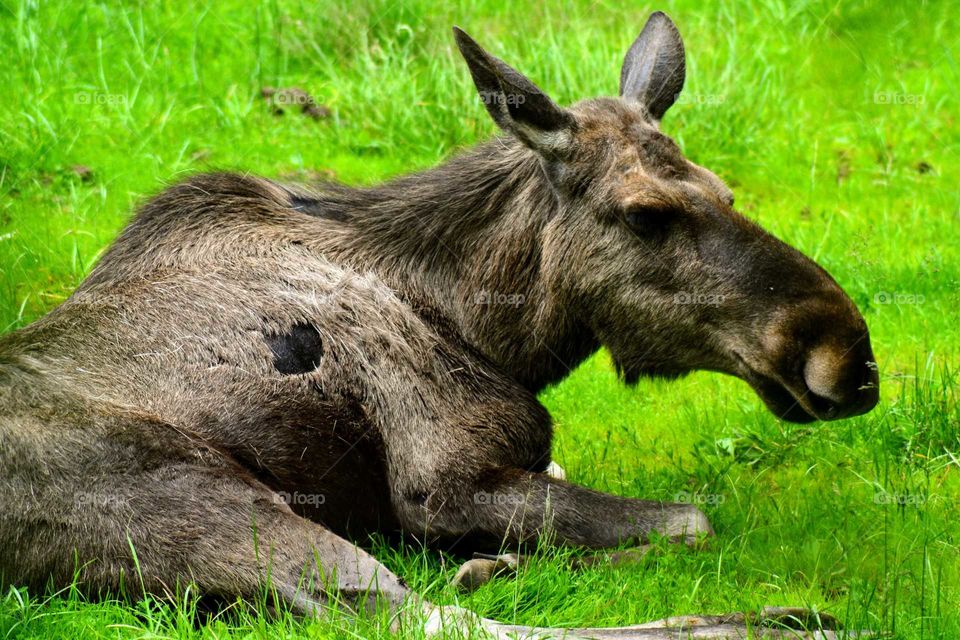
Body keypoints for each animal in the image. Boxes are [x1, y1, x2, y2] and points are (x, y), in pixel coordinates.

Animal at [0, 11, 878, 639]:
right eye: (646, 213)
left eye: (726, 191)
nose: (846, 356)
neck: (494, 330)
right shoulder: (443, 480)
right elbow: (692, 521)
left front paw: (504, 559)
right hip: (195, 492)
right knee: (423, 619)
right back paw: (786, 620)